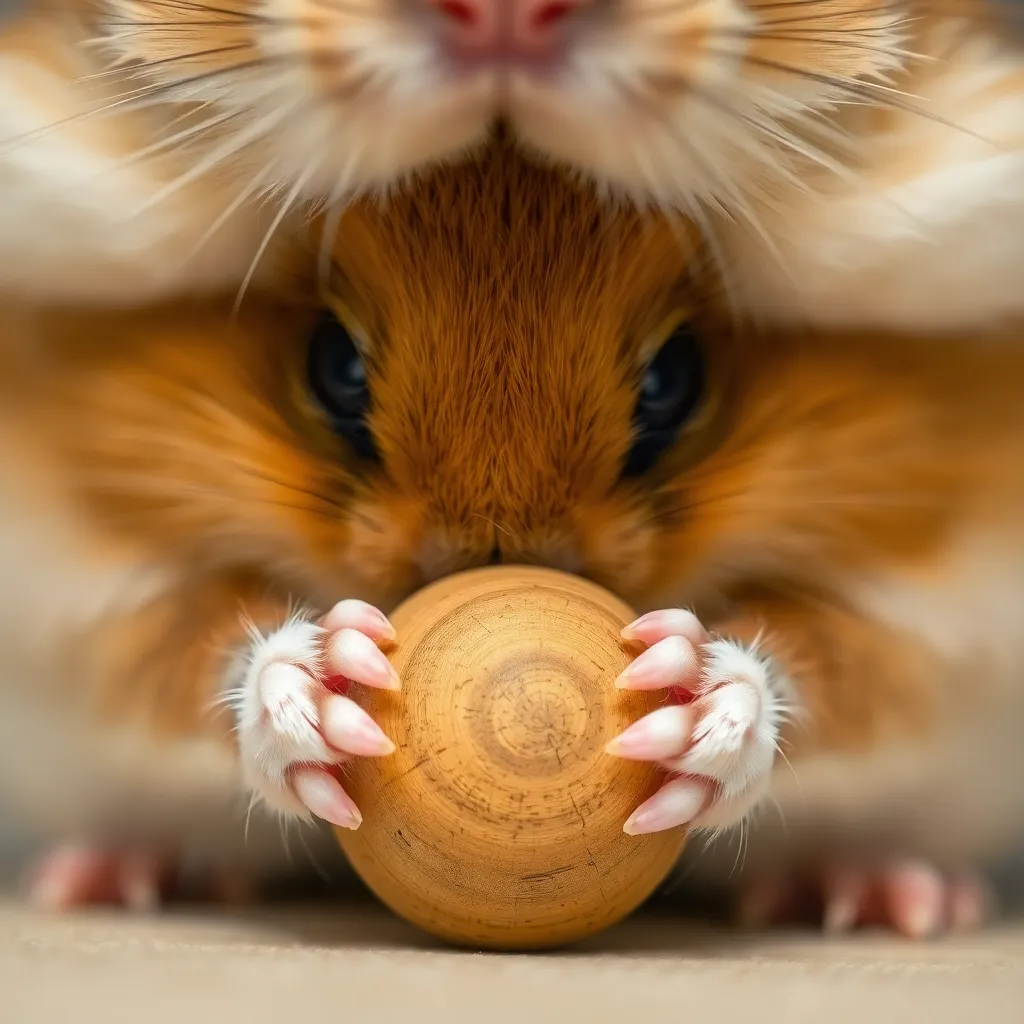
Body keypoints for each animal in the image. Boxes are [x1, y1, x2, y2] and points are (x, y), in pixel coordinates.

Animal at [1, 140, 1022, 935]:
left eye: (674, 378)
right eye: (334, 366)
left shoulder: (936, 620)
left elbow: (826, 662)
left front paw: (686, 696)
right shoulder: (87, 594)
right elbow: (197, 642)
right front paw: (331, 684)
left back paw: (893, 901)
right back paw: (101, 880)